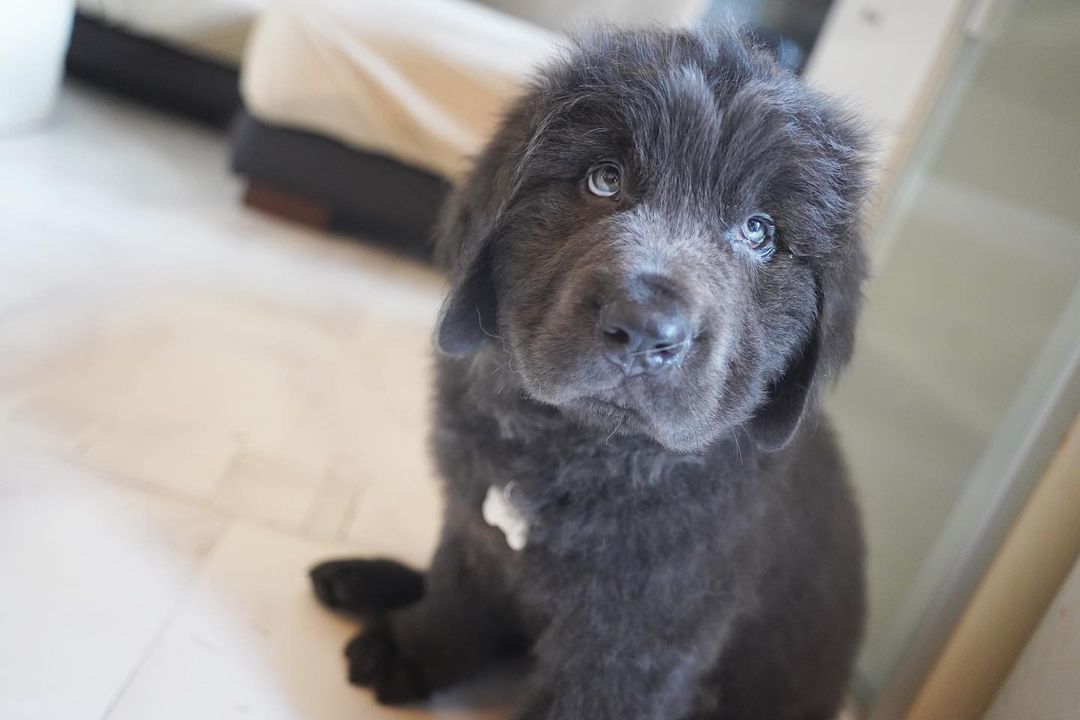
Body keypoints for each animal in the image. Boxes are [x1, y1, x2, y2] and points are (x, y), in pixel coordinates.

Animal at [311, 26, 871, 720]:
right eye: (604, 180)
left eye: (759, 232)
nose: (645, 328)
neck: (583, 451)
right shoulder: (476, 526)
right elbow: (454, 592)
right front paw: (414, 649)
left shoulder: (636, 645)